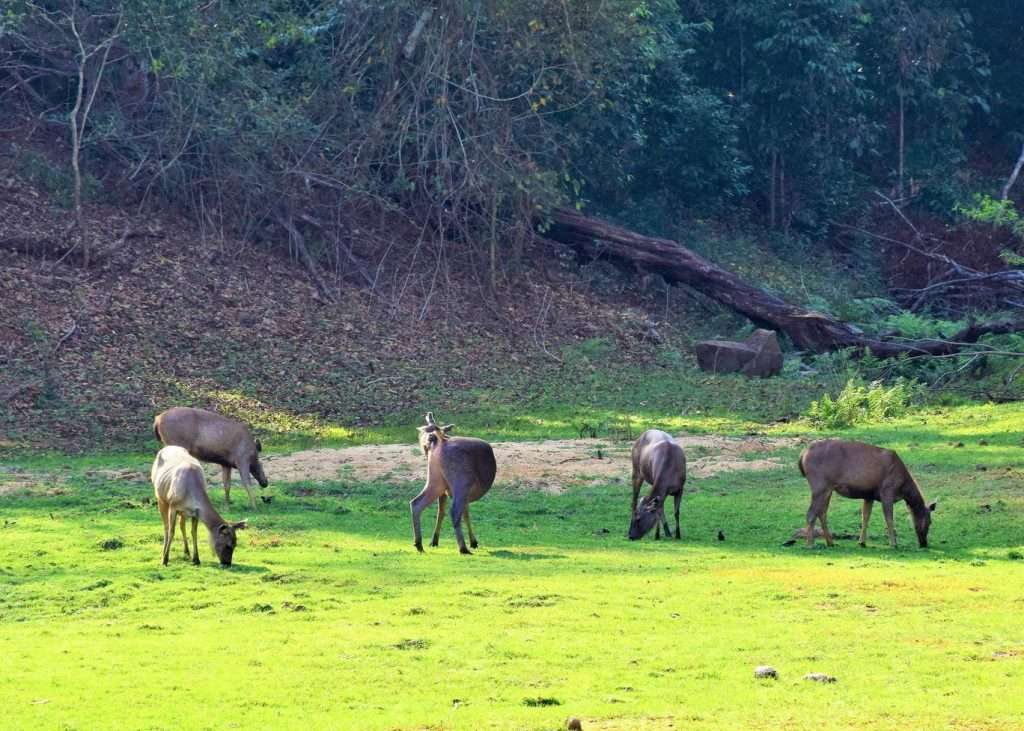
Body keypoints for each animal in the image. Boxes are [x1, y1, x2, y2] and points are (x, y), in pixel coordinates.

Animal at [411, 409, 499, 552]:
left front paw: (434, 541)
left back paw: (419, 544)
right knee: (454, 511)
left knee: (416, 503)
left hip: (436, 481)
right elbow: (465, 513)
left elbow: (445, 512)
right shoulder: (464, 491)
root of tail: (440, 442)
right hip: (461, 481)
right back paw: (463, 548)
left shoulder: (450, 492)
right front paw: (473, 542)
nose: (428, 441)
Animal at [798, 438, 937, 548]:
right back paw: (810, 544)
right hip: (819, 485)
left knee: (822, 512)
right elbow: (889, 518)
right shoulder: (887, 491)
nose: (924, 544)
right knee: (811, 513)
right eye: (930, 521)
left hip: (828, 488)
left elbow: (865, 517)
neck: (903, 488)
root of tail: (803, 455)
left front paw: (862, 542)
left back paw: (830, 542)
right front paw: (893, 544)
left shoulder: (869, 495)